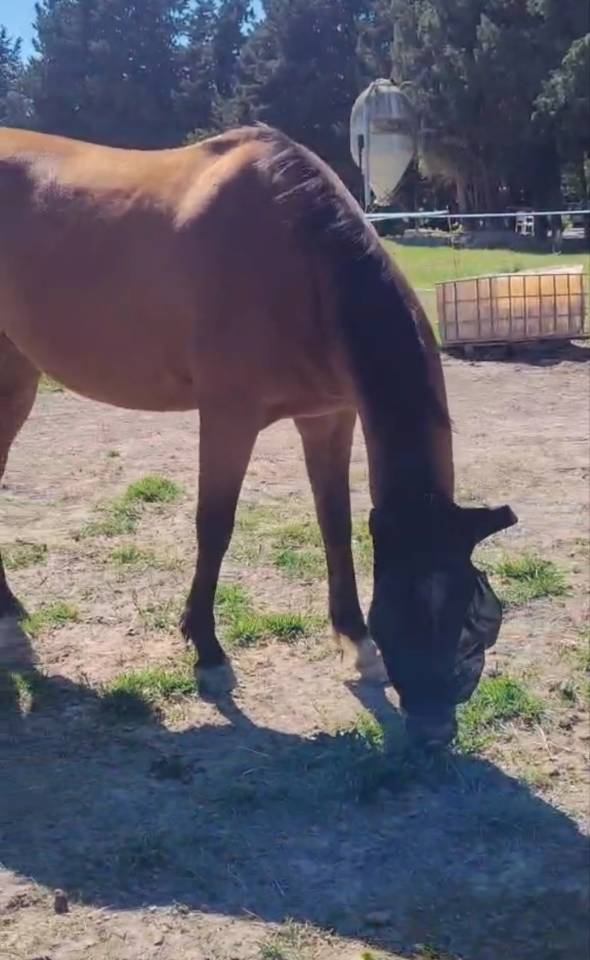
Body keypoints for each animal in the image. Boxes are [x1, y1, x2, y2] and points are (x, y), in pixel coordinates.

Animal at [0, 124, 516, 746]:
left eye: (469, 615)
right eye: (407, 604)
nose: (435, 729)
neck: (298, 259)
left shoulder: (328, 418)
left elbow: (334, 525)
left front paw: (355, 642)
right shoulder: (228, 416)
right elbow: (214, 526)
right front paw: (208, 653)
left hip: (16, 373)